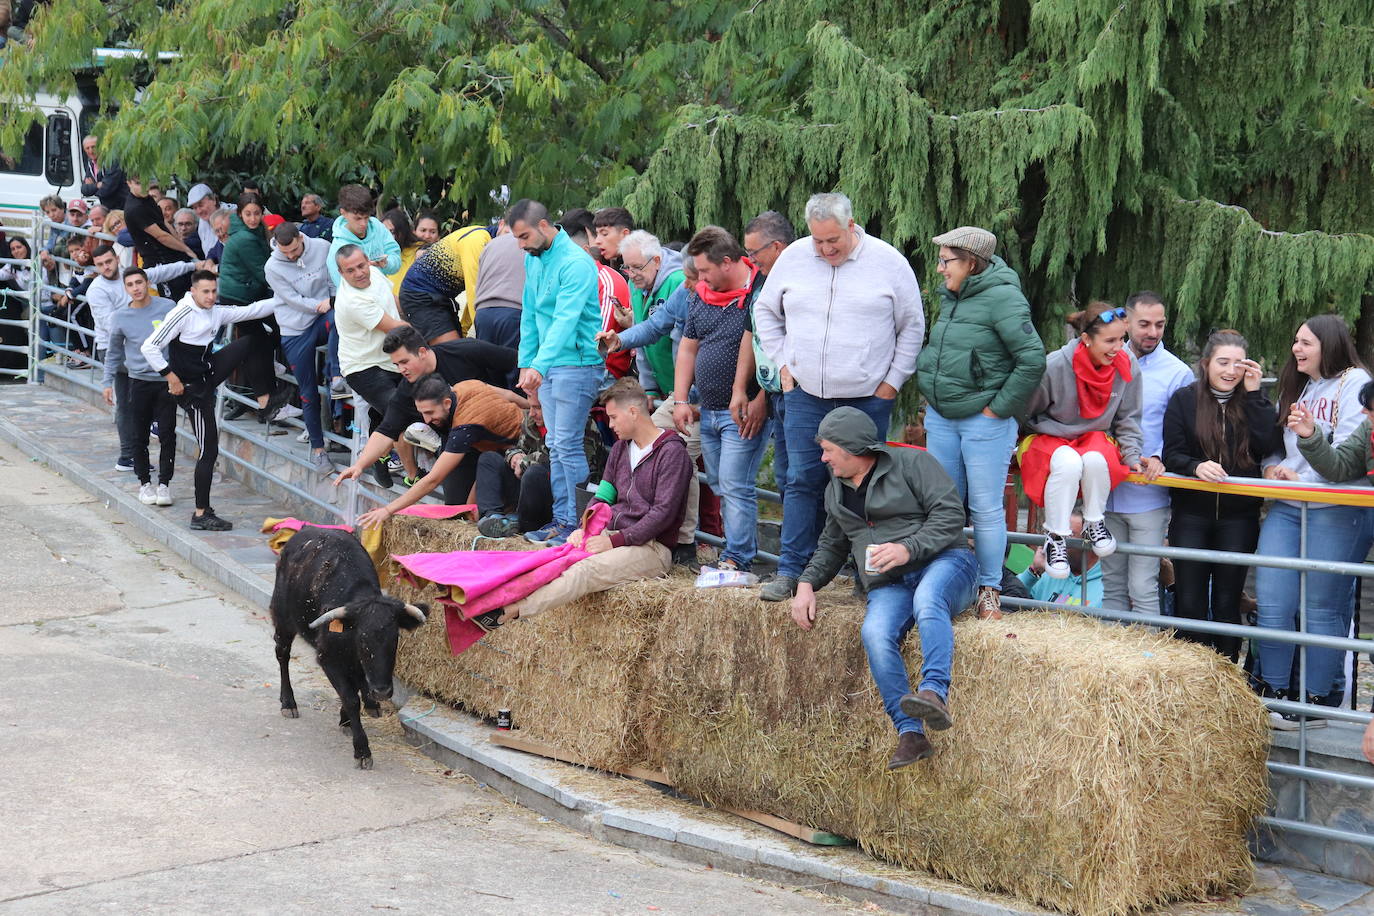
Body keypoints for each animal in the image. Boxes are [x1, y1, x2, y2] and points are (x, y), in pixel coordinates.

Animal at [270, 527, 425, 769]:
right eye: (362, 638)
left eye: (395, 638)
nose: (382, 691)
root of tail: (306, 530)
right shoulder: (328, 659)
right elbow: (350, 698)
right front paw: (362, 749)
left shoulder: (357, 665)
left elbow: (355, 689)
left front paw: (349, 719)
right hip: (283, 618)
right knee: (282, 654)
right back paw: (288, 702)